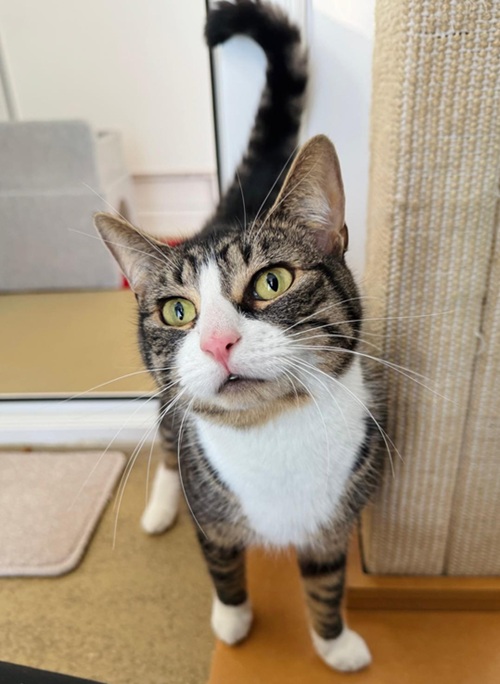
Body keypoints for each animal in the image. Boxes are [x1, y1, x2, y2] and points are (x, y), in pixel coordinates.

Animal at [95, 0, 383, 673]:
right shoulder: (216, 521)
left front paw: (335, 643)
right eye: (178, 312)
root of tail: (229, 210)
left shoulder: (335, 520)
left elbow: (326, 584)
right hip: (167, 415)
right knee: (167, 445)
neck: (273, 434)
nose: (217, 342)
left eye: (273, 281)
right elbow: (223, 568)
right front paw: (232, 620)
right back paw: (160, 506)